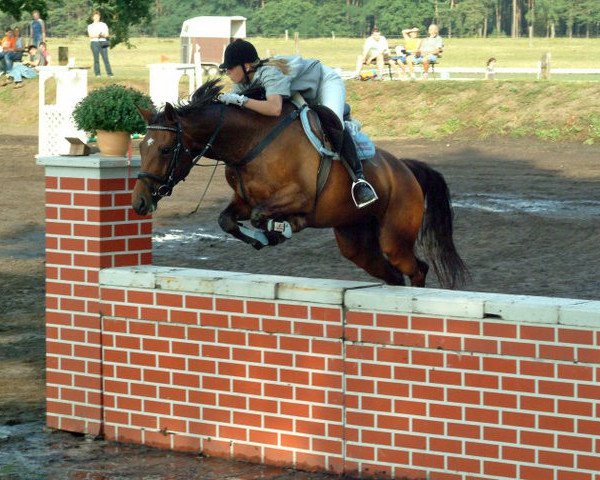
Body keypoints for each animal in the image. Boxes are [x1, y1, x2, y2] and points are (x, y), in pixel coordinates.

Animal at [132, 80, 468, 286]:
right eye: (141, 150)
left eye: (165, 150)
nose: (139, 202)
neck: (251, 142)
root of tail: (405, 169)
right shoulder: (244, 200)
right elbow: (226, 219)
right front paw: (262, 237)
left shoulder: (300, 196)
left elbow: (263, 216)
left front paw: (282, 229)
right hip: (356, 241)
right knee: (393, 276)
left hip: (394, 237)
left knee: (417, 269)